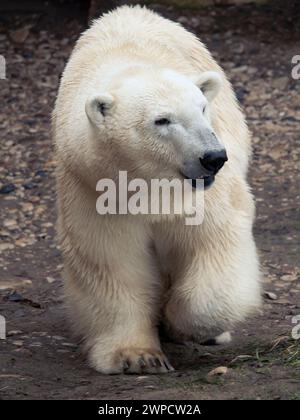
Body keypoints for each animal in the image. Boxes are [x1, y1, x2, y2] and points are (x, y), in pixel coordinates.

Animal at [52, 4, 262, 374]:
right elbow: (112, 259)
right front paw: (138, 356)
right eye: (162, 120)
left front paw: (181, 323)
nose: (213, 157)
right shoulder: (93, 186)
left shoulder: (202, 196)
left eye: (202, 108)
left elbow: (214, 240)